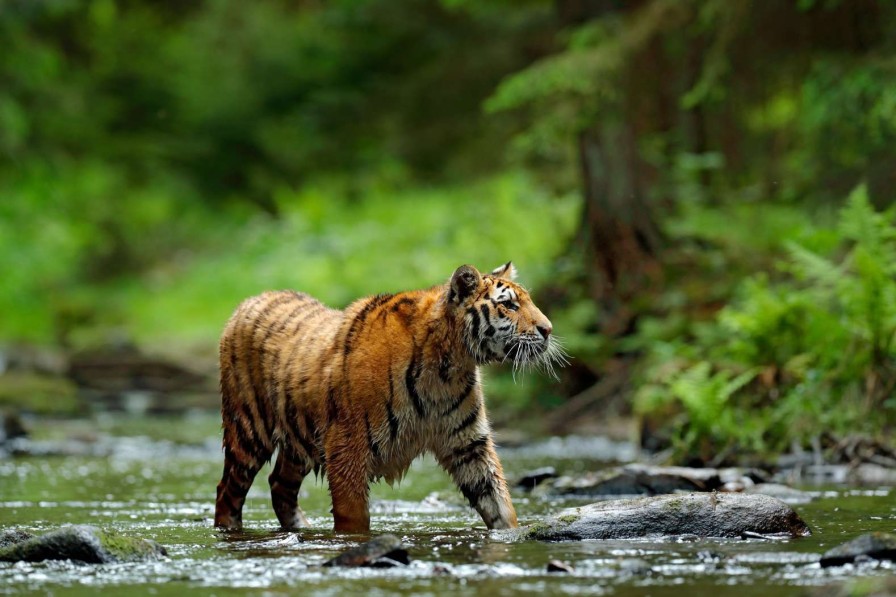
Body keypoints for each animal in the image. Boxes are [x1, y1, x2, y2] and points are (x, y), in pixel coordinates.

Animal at [216, 260, 564, 532]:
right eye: (509, 305)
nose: (548, 329)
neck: (449, 367)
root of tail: (251, 299)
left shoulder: (469, 443)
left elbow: (498, 502)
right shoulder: (348, 447)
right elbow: (354, 518)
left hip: (301, 442)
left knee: (279, 484)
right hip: (248, 433)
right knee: (227, 491)